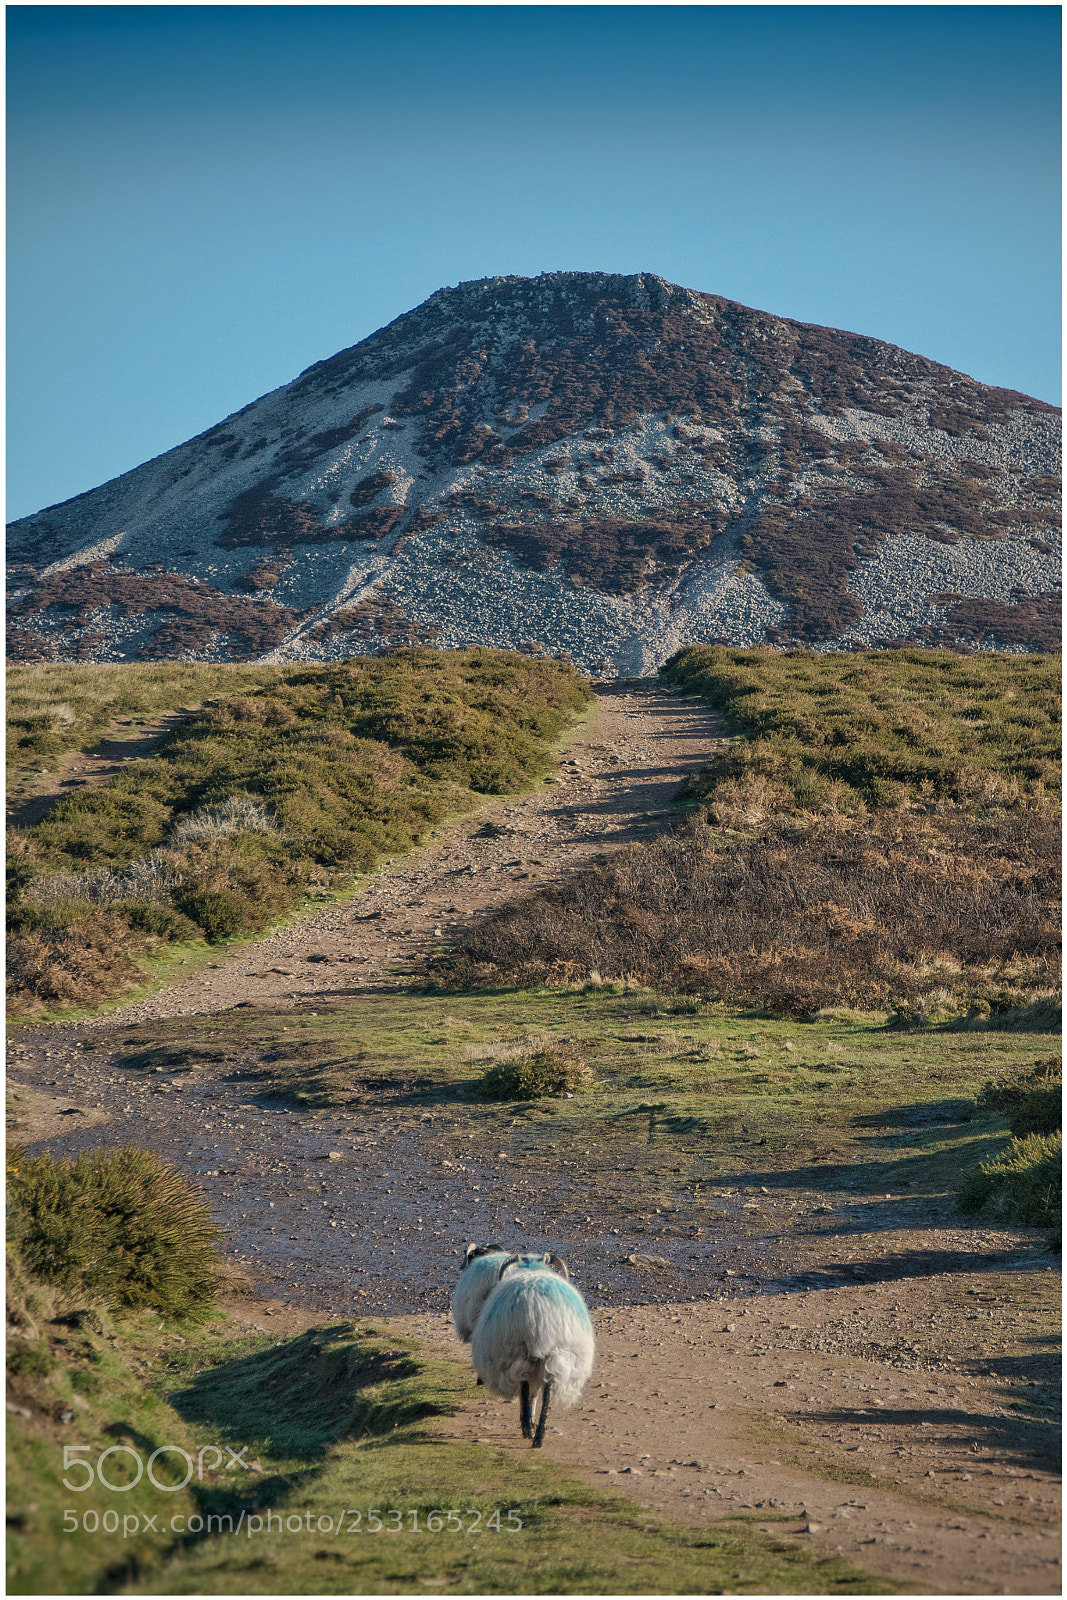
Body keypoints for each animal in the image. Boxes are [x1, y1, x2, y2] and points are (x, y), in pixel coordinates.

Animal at [470, 1254, 594, 1447]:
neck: (532, 1268)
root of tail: (537, 1308)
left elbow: (529, 1393)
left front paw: (528, 1422)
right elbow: (535, 1393)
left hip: (518, 1352)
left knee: (526, 1387)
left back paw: (528, 1429)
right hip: (554, 1354)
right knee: (546, 1390)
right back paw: (538, 1436)